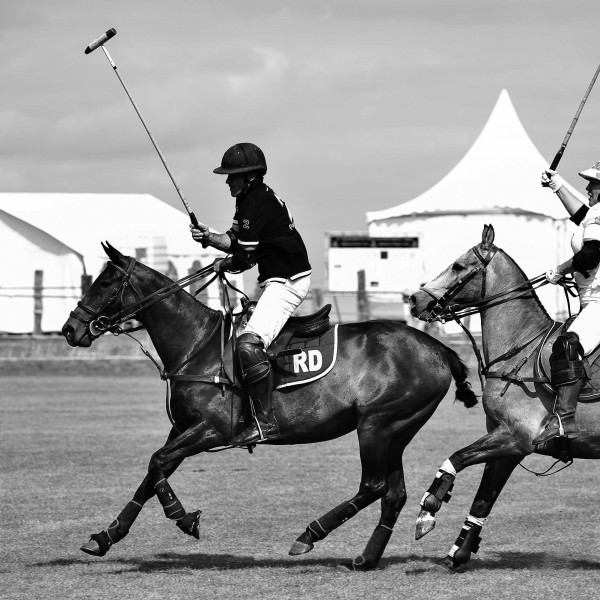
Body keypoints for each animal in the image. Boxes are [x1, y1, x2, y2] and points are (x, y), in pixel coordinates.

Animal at [61, 242, 477, 570]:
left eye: (105, 282)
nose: (70, 329)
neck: (197, 345)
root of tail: (438, 348)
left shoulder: (213, 430)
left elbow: (157, 462)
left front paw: (183, 518)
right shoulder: (182, 428)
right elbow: (152, 473)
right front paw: (104, 537)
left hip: (377, 425)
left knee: (373, 485)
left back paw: (309, 535)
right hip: (397, 431)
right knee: (393, 493)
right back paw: (366, 557)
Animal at [408, 223, 600, 572]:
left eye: (458, 265)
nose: (415, 300)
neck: (520, 347)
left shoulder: (516, 437)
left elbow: (455, 458)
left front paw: (428, 510)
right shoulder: (506, 443)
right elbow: (483, 500)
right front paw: (457, 554)